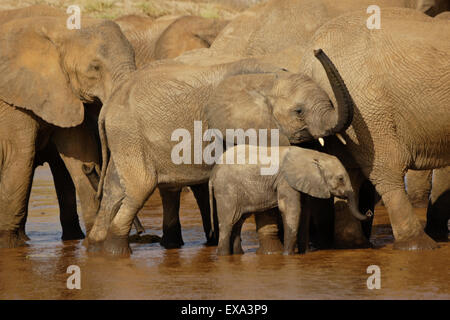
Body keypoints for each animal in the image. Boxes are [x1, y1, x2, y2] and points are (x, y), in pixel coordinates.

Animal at [0, 15, 136, 248]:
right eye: (95, 68)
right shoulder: (13, 100)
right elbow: (19, 157)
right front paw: (9, 247)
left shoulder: (62, 92)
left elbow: (80, 151)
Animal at [209, 146, 368, 256]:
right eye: (340, 179)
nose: (369, 212)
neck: (313, 155)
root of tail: (213, 172)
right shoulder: (286, 181)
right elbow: (292, 210)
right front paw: (287, 256)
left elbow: (304, 212)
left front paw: (305, 254)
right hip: (227, 190)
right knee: (228, 223)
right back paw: (222, 256)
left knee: (237, 222)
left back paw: (237, 255)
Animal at [298, 8, 450, 250]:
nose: (318, 52)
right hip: (370, 107)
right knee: (386, 165)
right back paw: (419, 244)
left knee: (349, 168)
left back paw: (354, 243)